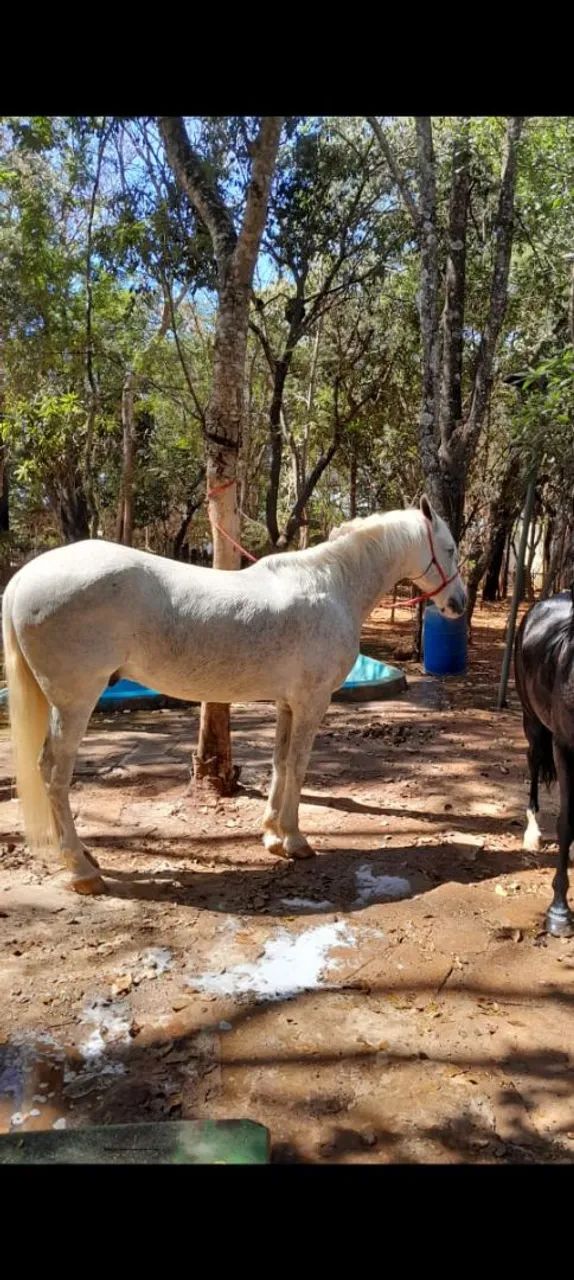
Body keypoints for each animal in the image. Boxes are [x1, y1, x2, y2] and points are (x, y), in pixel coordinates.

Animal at [2, 495, 466, 895]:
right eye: (449, 548)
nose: (459, 603)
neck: (331, 587)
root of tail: (23, 578)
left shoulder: (287, 703)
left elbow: (280, 764)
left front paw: (272, 835)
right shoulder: (312, 702)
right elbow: (298, 767)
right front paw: (295, 840)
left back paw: (86, 858)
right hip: (75, 703)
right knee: (54, 774)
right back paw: (82, 871)